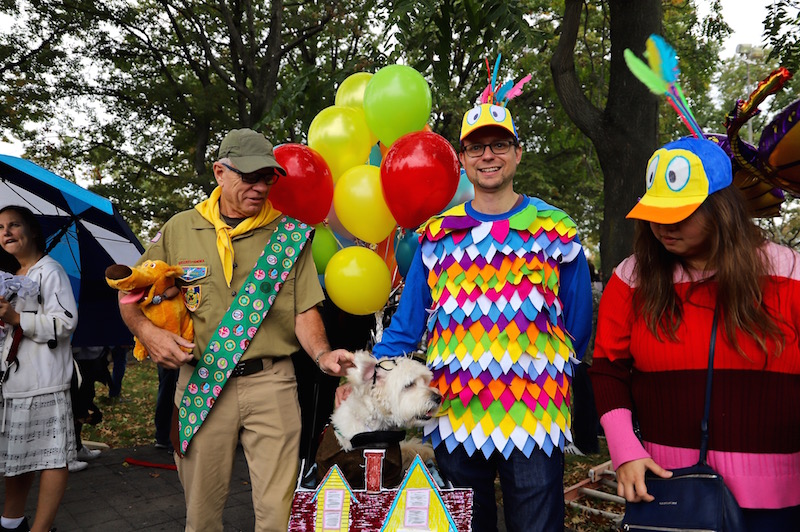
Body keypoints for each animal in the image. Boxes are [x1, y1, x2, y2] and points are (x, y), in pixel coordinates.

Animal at [316, 352, 444, 488]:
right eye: (409, 384)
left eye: (425, 381)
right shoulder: (325, 466)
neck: (371, 434)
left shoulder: (390, 474)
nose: (438, 397)